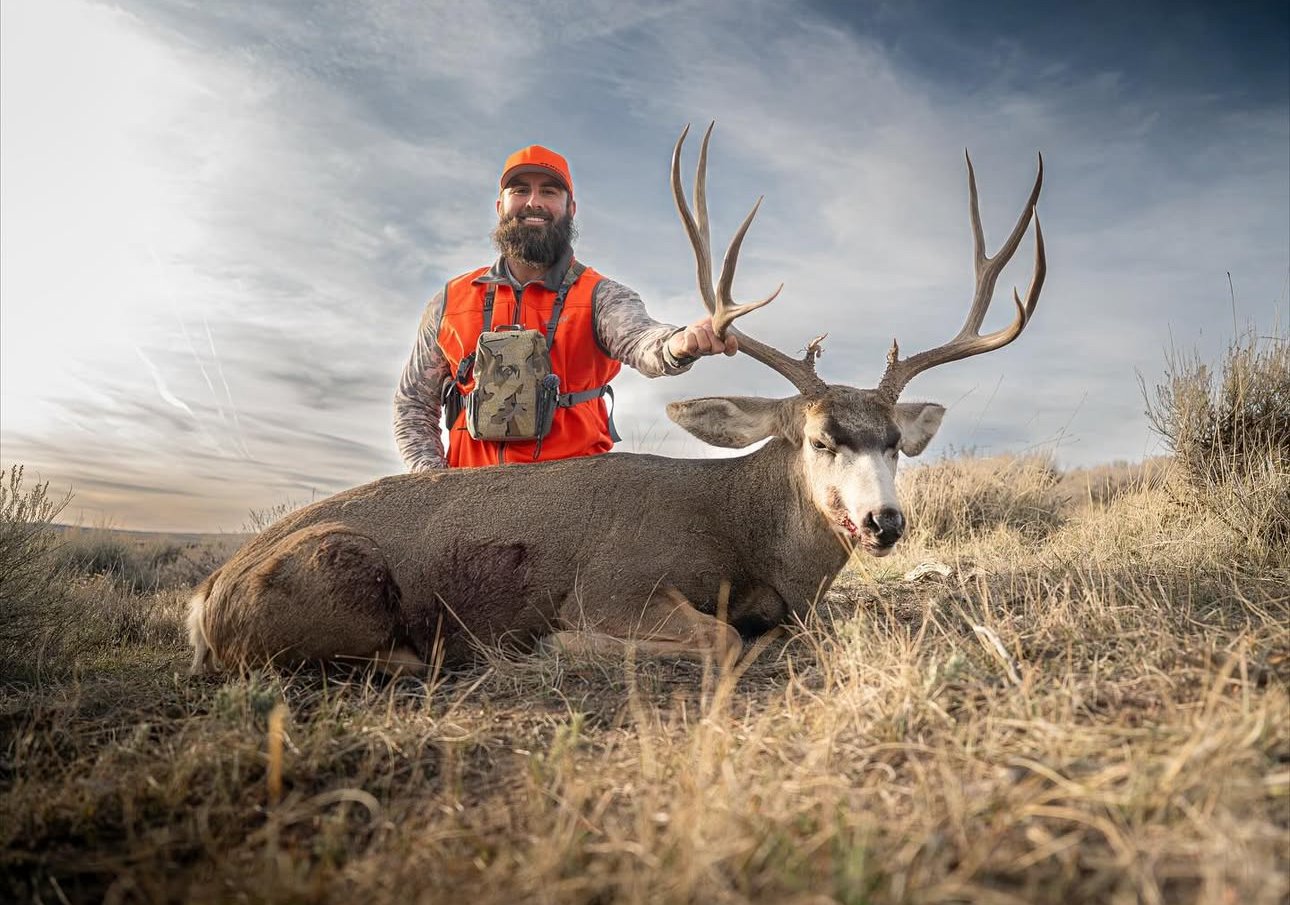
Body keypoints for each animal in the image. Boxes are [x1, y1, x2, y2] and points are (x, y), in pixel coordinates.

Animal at [187, 124, 1045, 676]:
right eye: (820, 440)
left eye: (894, 441)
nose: (883, 521)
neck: (740, 533)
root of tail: (204, 596)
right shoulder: (615, 584)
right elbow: (723, 641)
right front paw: (561, 647)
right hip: (343, 574)